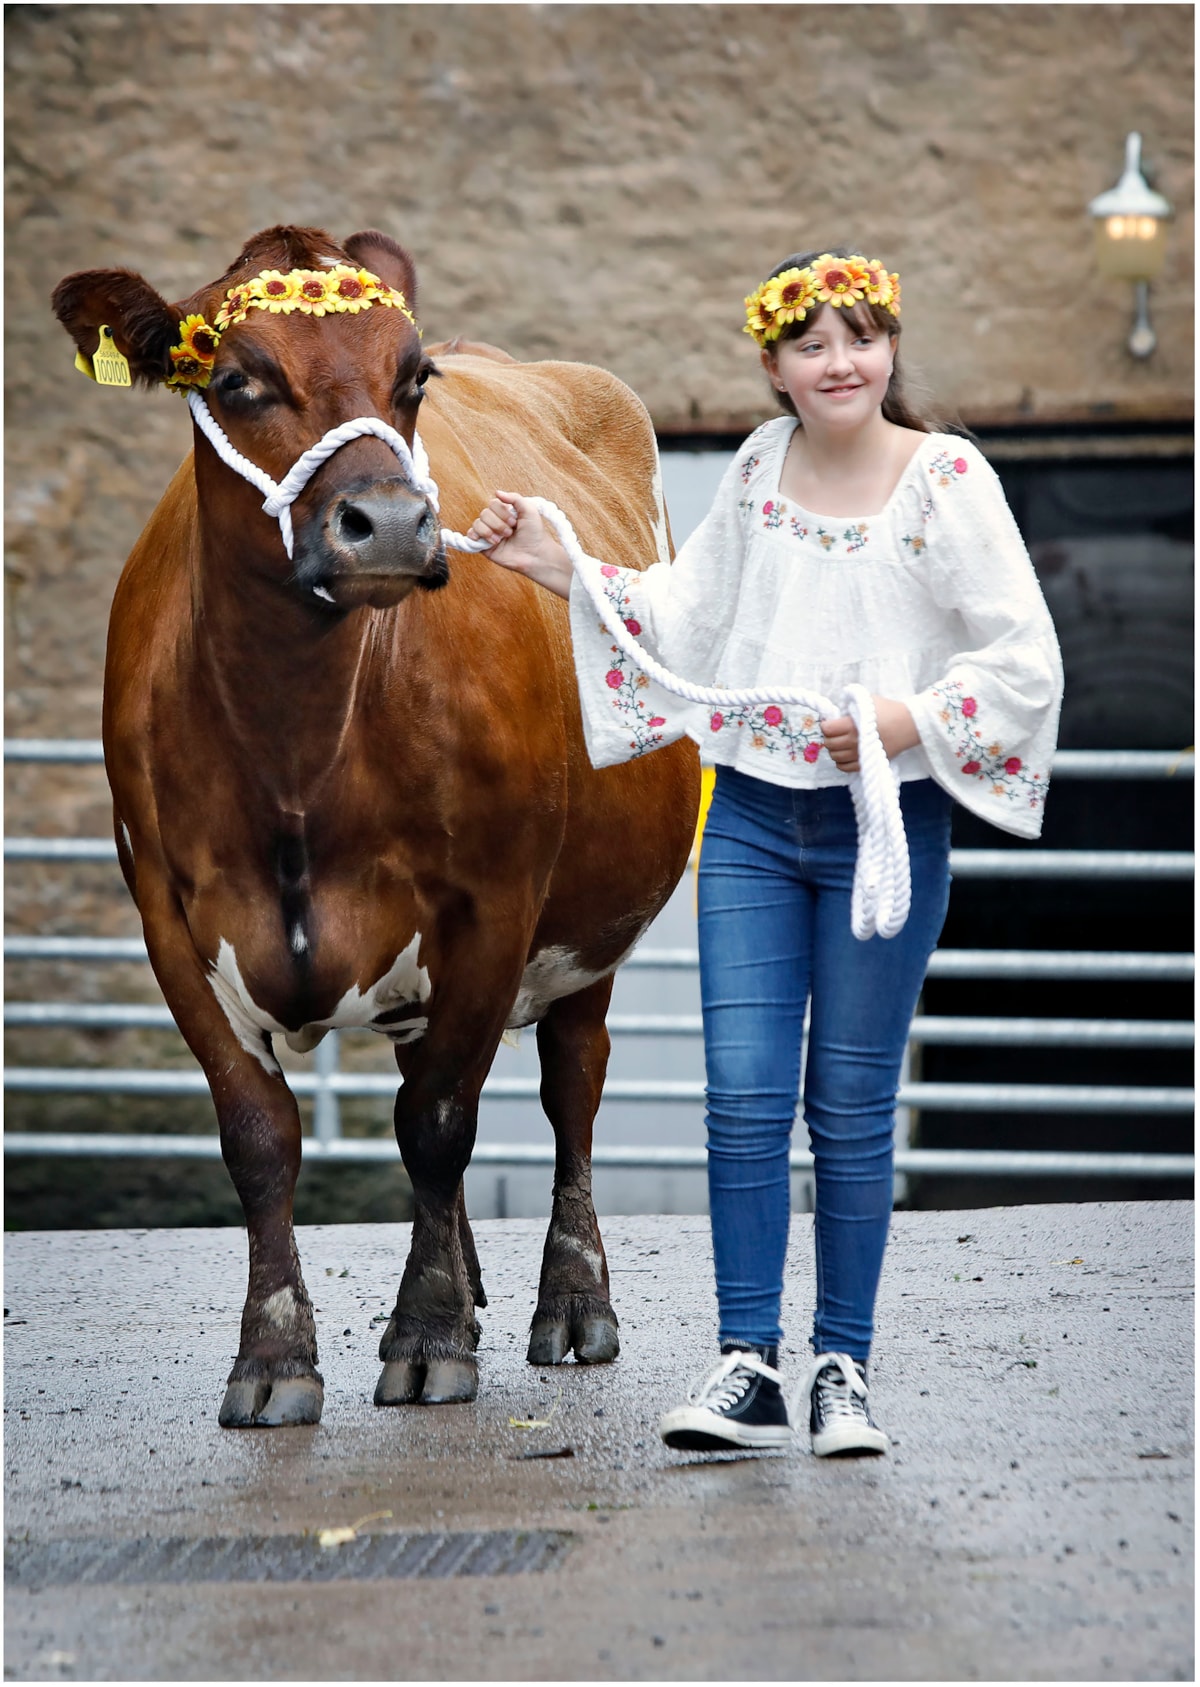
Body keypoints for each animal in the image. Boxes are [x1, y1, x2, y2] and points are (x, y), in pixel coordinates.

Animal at [51, 227, 698, 1423]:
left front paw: (430, 1335)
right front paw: (273, 1356)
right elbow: (260, 1136)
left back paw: (570, 1303)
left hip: (593, 925)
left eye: (414, 378)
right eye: (235, 379)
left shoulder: (493, 903)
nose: (392, 524)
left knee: (571, 1084)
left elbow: (439, 1123)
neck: (294, 749)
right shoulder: (168, 917)